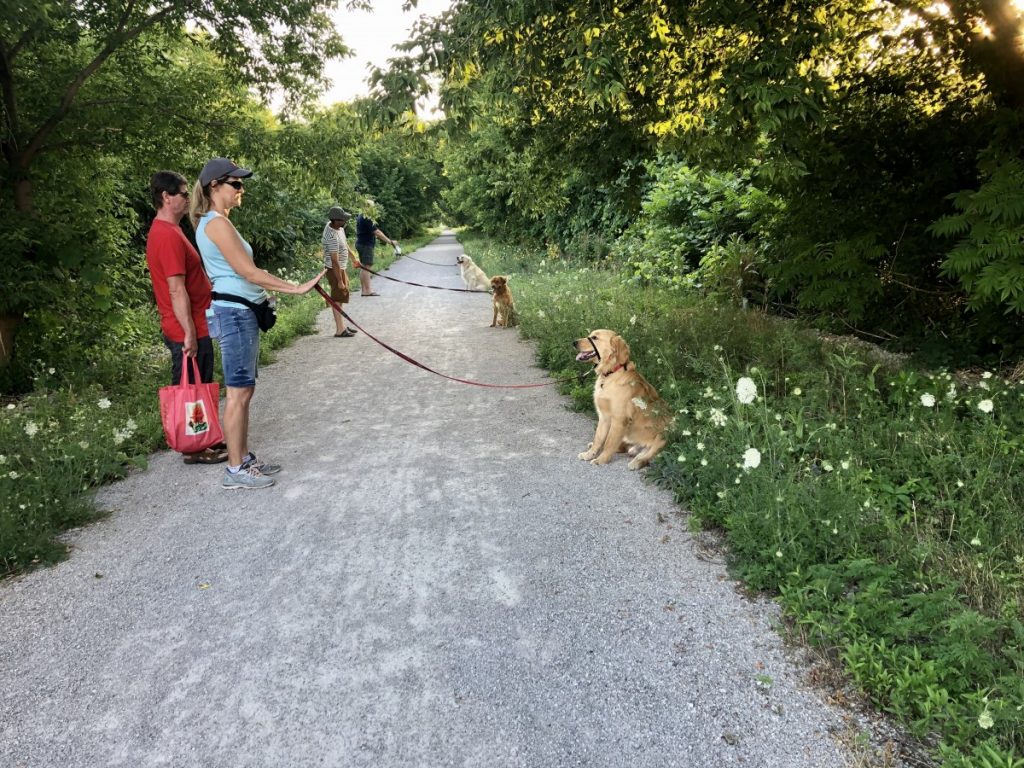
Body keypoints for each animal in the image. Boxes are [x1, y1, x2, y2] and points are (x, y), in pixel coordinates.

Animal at [577, 329, 671, 473]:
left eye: (594, 337)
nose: (573, 342)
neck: (611, 374)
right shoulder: (604, 417)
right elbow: (599, 438)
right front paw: (590, 454)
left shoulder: (619, 419)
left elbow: (609, 443)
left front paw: (601, 460)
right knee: (621, 447)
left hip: (664, 433)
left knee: (648, 454)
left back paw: (637, 462)